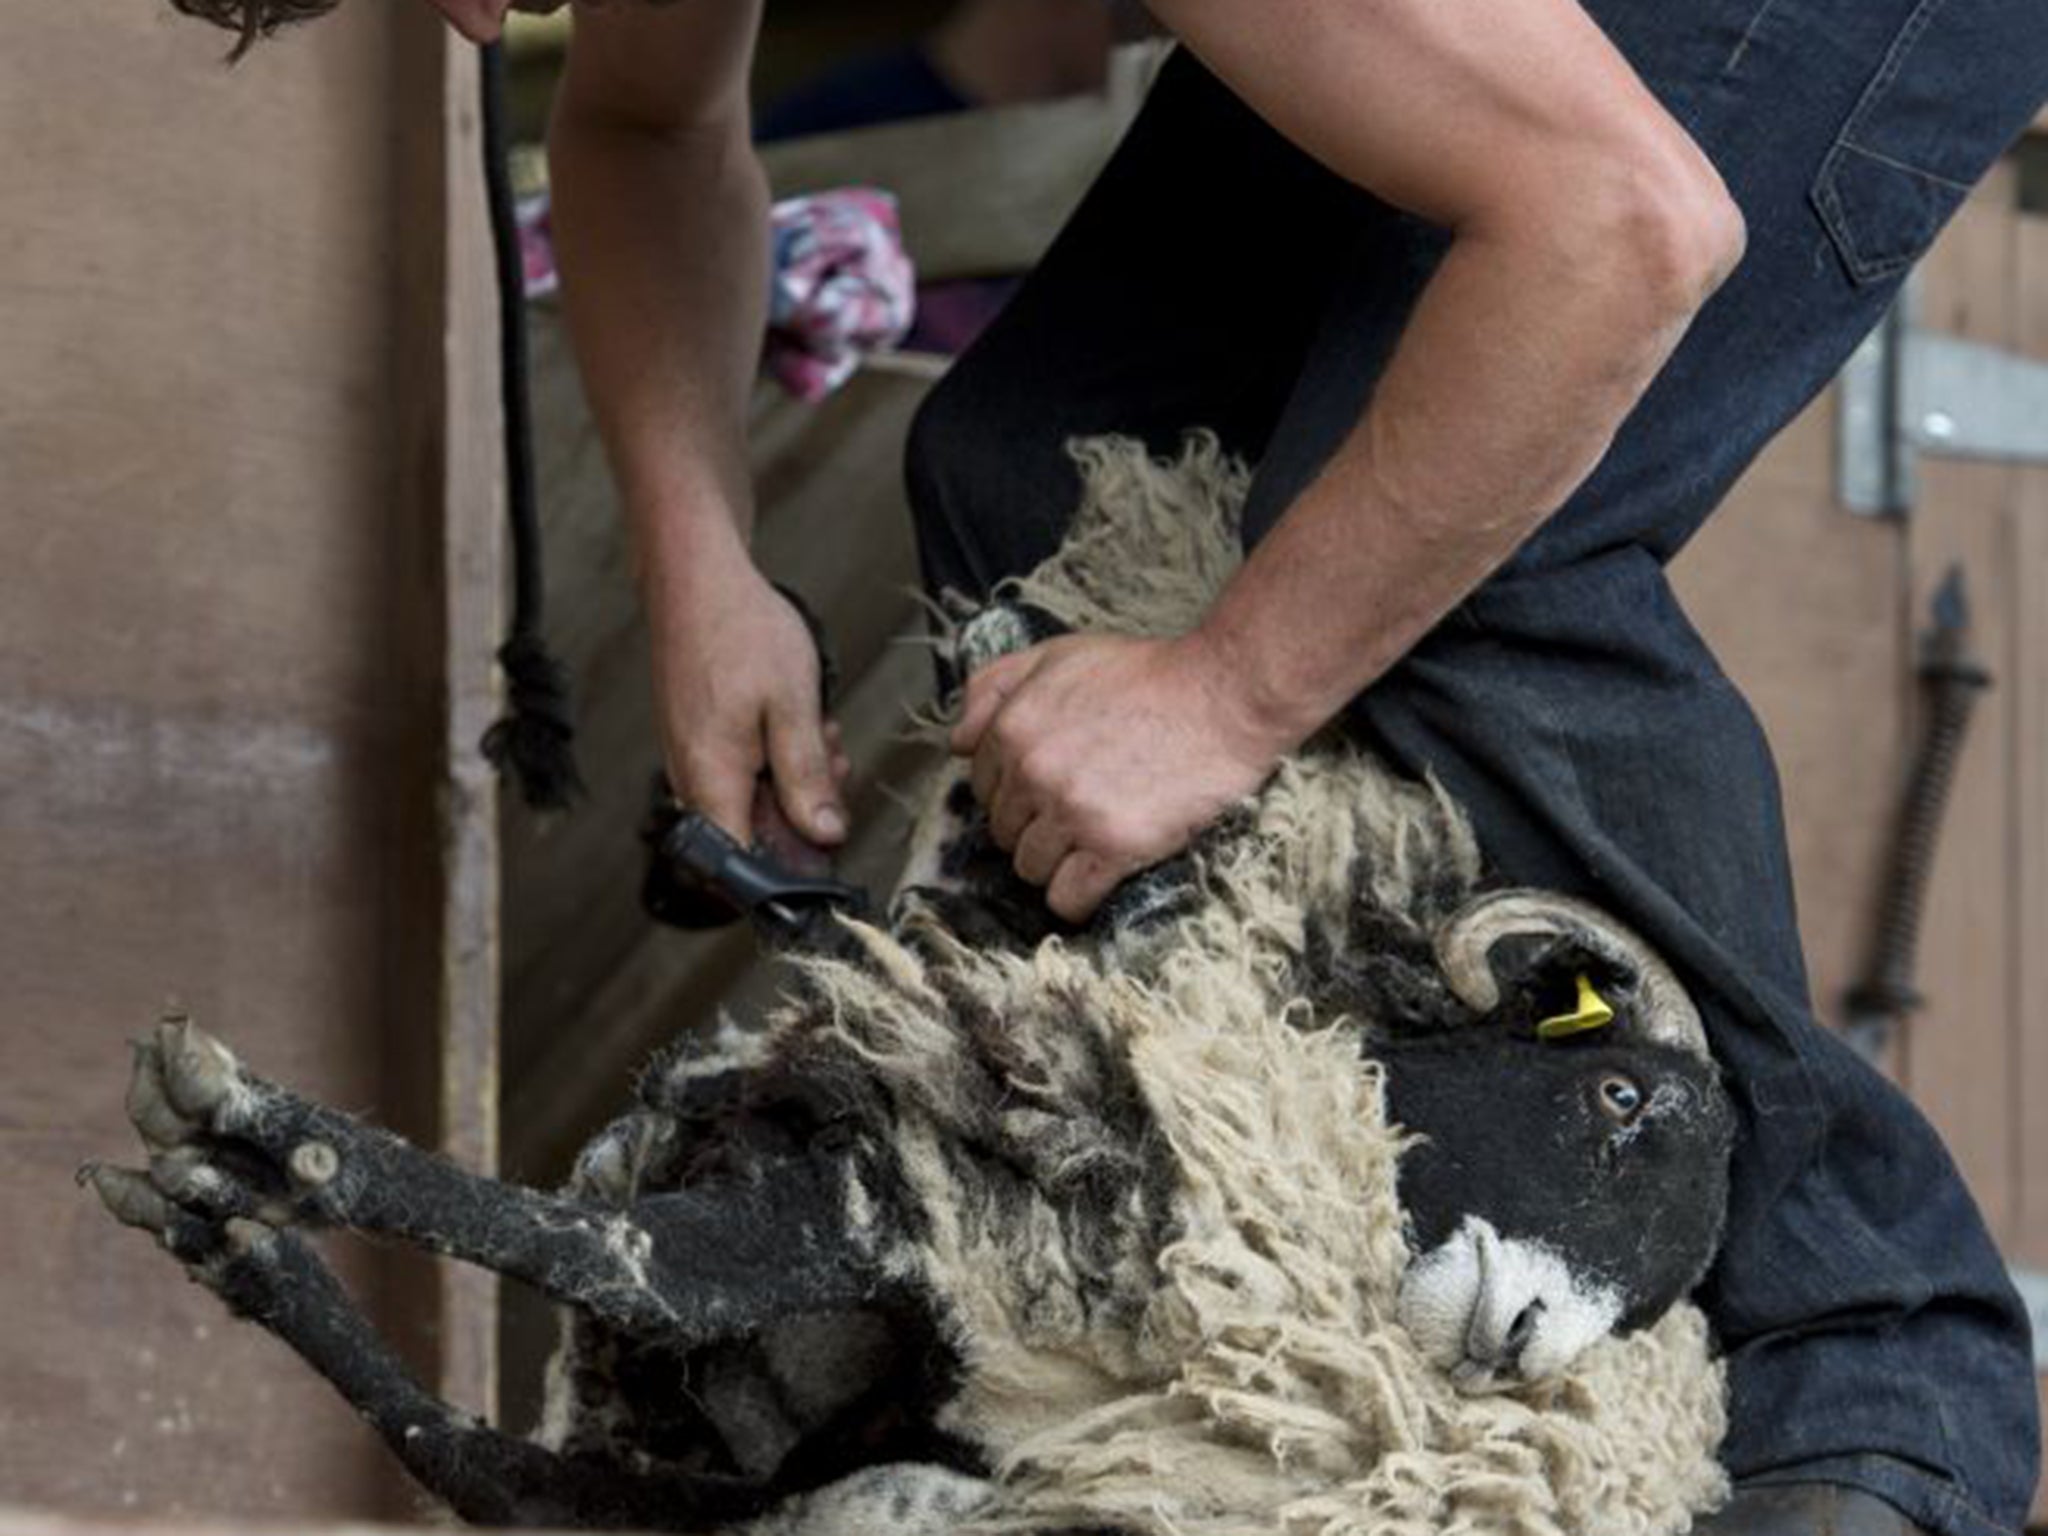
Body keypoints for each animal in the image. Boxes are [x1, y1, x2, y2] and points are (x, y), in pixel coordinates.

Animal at [88, 434, 1736, 1536]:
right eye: (1618, 1091)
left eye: (1663, 1301)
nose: (1520, 1344)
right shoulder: (918, 1163)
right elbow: (632, 1253)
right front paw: (272, 1153)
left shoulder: (945, 1216)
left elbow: (636, 1262)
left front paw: (282, 1155)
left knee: (519, 1478)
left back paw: (250, 1242)